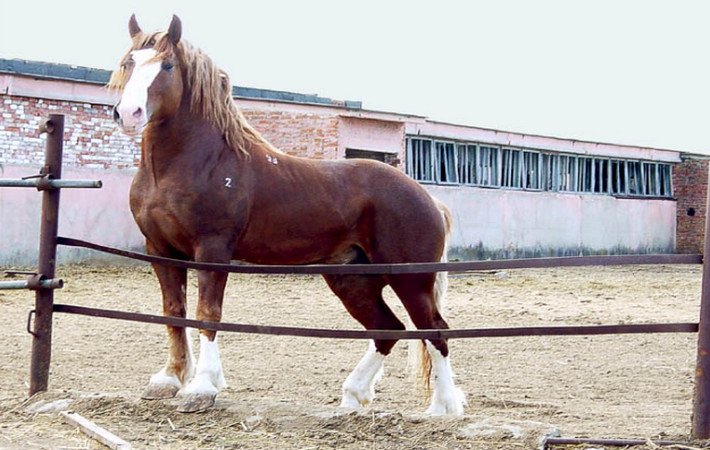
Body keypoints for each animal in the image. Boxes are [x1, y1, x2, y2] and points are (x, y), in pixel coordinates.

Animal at [110, 14, 468, 414]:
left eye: (167, 65)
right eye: (129, 62)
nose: (129, 114)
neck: (194, 163)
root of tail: (428, 199)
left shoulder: (212, 251)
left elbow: (207, 313)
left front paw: (201, 387)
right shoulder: (160, 250)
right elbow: (173, 312)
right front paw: (169, 380)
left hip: (411, 278)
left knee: (434, 330)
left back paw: (443, 408)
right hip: (352, 278)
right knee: (388, 329)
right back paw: (354, 395)